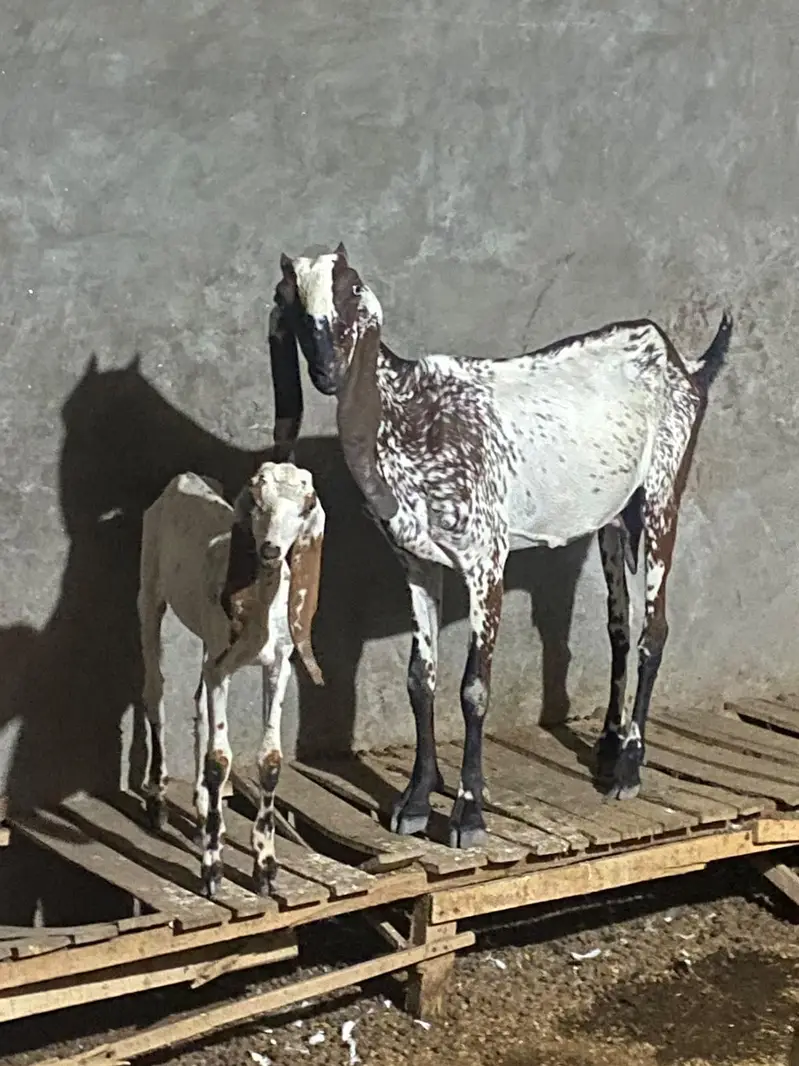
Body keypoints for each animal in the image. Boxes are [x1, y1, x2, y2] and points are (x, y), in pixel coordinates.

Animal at [137, 460, 325, 896]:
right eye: (257, 500)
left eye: (305, 506)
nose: (271, 550)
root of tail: (183, 480)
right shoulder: (222, 668)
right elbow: (219, 760)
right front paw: (212, 870)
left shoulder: (278, 666)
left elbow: (270, 760)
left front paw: (266, 868)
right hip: (150, 590)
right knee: (155, 690)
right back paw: (158, 801)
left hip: (207, 641)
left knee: (197, 701)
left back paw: (202, 809)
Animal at [270, 242, 733, 850]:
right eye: (292, 301)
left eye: (350, 288)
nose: (326, 371)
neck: (409, 412)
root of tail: (683, 363)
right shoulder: (415, 562)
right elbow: (420, 679)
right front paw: (414, 802)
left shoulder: (485, 557)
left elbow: (474, 687)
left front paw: (467, 814)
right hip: (611, 518)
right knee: (618, 626)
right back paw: (609, 746)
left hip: (661, 492)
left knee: (653, 630)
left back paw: (628, 770)